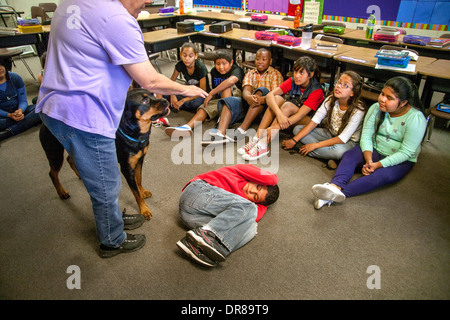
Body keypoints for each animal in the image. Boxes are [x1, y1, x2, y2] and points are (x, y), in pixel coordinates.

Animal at [39, 89, 170, 221]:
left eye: (153, 94)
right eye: (145, 100)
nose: (165, 100)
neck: (134, 132)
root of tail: (43, 124)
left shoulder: (139, 160)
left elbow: (139, 179)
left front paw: (142, 191)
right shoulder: (126, 168)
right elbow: (136, 193)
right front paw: (144, 209)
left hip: (77, 147)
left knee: (70, 159)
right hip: (55, 153)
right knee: (52, 174)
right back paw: (62, 192)